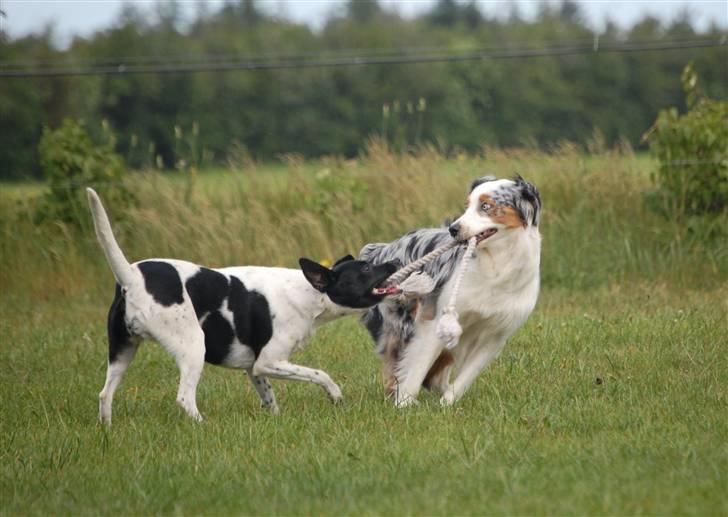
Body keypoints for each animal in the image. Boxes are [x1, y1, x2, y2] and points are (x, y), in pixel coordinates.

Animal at [89, 187, 404, 422]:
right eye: (366, 269)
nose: (395, 263)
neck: (307, 294)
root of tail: (131, 277)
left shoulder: (255, 368)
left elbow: (270, 398)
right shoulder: (270, 361)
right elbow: (321, 374)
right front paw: (335, 396)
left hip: (123, 350)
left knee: (105, 394)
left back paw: (108, 430)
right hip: (192, 347)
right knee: (184, 398)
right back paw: (202, 426)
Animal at [360, 176, 540, 408]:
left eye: (486, 206)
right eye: (466, 206)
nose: (453, 229)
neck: (497, 264)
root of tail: (386, 247)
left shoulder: (495, 334)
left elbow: (467, 375)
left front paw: (447, 403)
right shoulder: (437, 320)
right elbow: (418, 368)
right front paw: (405, 404)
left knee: (434, 376)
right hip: (404, 321)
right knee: (397, 365)